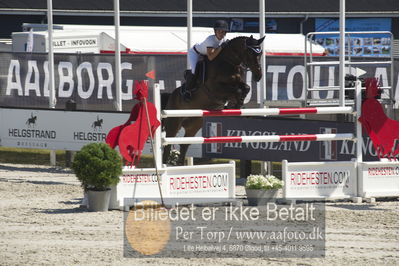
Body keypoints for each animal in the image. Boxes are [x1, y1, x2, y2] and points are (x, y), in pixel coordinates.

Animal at [162, 35, 266, 164]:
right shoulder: (214, 88)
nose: (258, 76)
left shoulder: (237, 82)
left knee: (184, 144)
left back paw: (179, 165)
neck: (228, 62)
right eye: (250, 53)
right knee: (168, 144)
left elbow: (246, 88)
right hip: (174, 122)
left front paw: (236, 104)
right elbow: (237, 91)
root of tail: (170, 97)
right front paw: (233, 104)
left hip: (195, 124)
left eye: (260, 53)